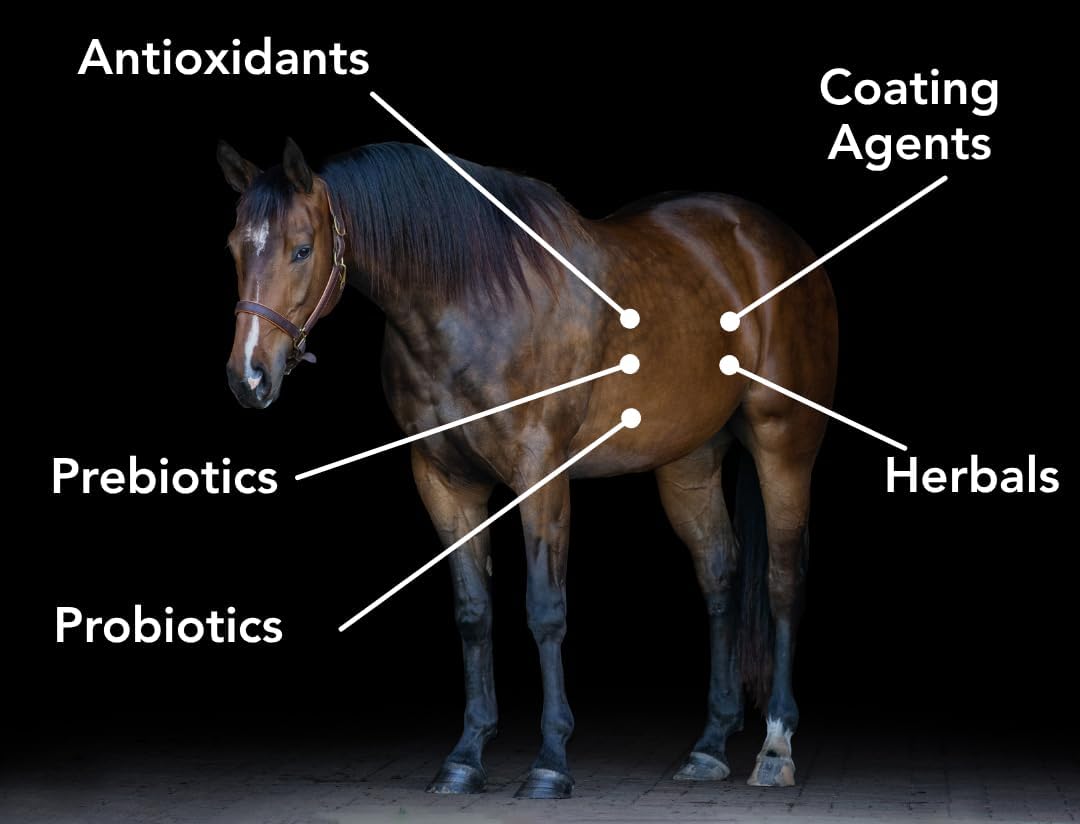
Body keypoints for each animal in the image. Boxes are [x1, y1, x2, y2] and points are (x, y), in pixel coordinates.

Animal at [218, 138, 838, 799]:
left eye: (301, 248)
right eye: (234, 248)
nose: (248, 377)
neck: (471, 301)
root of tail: (776, 243)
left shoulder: (541, 473)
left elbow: (544, 608)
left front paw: (550, 762)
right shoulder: (443, 479)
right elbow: (473, 613)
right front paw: (465, 757)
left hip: (784, 442)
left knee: (782, 580)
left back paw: (775, 746)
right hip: (688, 461)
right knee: (720, 575)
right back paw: (710, 746)